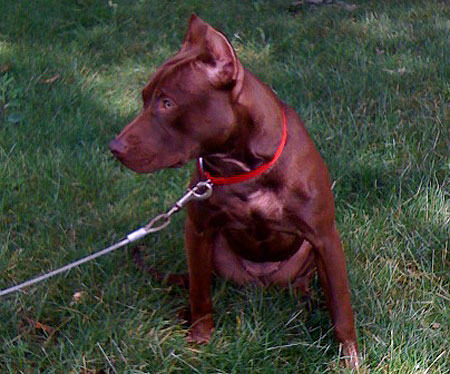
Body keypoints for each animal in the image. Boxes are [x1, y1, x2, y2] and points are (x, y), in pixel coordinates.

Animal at [110, 13, 360, 368]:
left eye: (167, 102)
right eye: (144, 98)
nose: (114, 148)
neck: (243, 169)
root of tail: (260, 284)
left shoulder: (324, 238)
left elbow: (341, 307)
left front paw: (350, 358)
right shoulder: (198, 231)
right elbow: (200, 293)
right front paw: (200, 338)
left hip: (305, 256)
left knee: (305, 284)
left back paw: (307, 301)